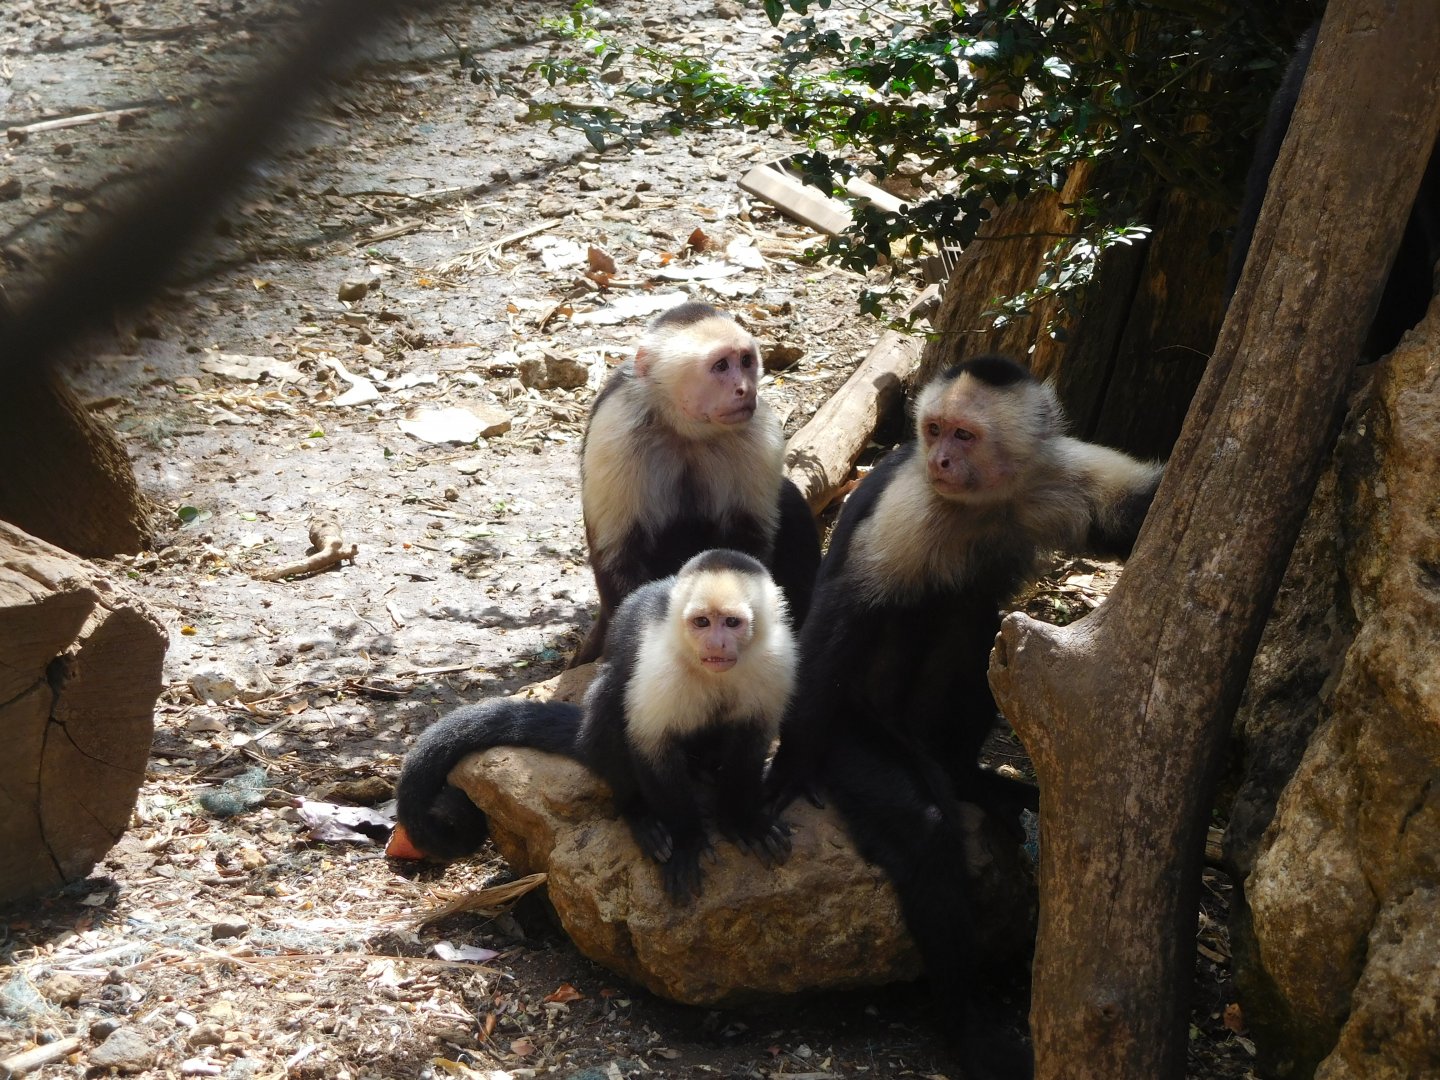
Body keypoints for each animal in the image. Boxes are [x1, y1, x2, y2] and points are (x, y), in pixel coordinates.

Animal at [394, 548, 797, 902]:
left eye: (731, 622)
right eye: (702, 622)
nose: (716, 643)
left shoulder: (776, 660)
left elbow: (752, 741)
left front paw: (743, 819)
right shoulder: (662, 666)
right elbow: (650, 745)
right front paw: (686, 837)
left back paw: (706, 773)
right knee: (610, 692)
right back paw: (640, 813)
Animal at [570, 301, 821, 665]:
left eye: (746, 361)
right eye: (721, 366)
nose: (745, 389)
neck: (685, 430)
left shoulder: (757, 431)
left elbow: (747, 542)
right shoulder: (616, 427)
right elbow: (620, 551)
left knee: (788, 501)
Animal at [765, 355, 1163, 1078]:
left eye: (965, 435)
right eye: (934, 431)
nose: (943, 459)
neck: (985, 502)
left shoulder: (1055, 471)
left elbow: (1133, 514)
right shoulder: (912, 503)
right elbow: (840, 616)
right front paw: (790, 766)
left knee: (974, 614)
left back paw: (964, 773)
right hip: (855, 731)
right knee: (921, 825)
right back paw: (968, 1031)